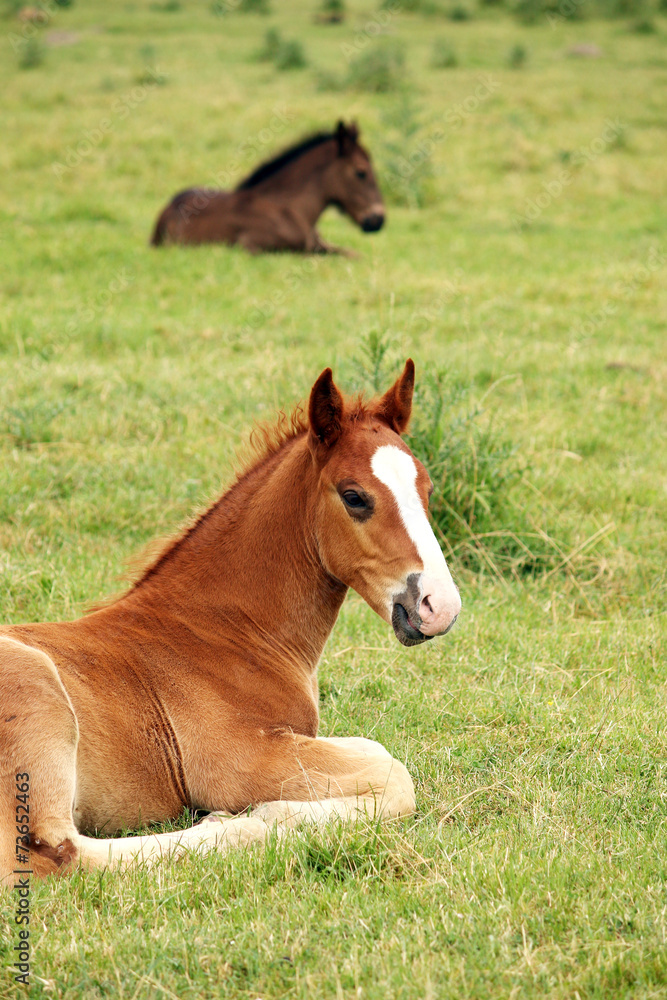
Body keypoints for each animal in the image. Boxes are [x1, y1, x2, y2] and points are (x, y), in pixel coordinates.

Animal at [1, 362, 460, 884]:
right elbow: (396, 776)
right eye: (354, 497)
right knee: (60, 856)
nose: (440, 606)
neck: (223, 630)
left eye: (426, 490)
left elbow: (375, 750)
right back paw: (240, 826)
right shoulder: (238, 759)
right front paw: (272, 813)